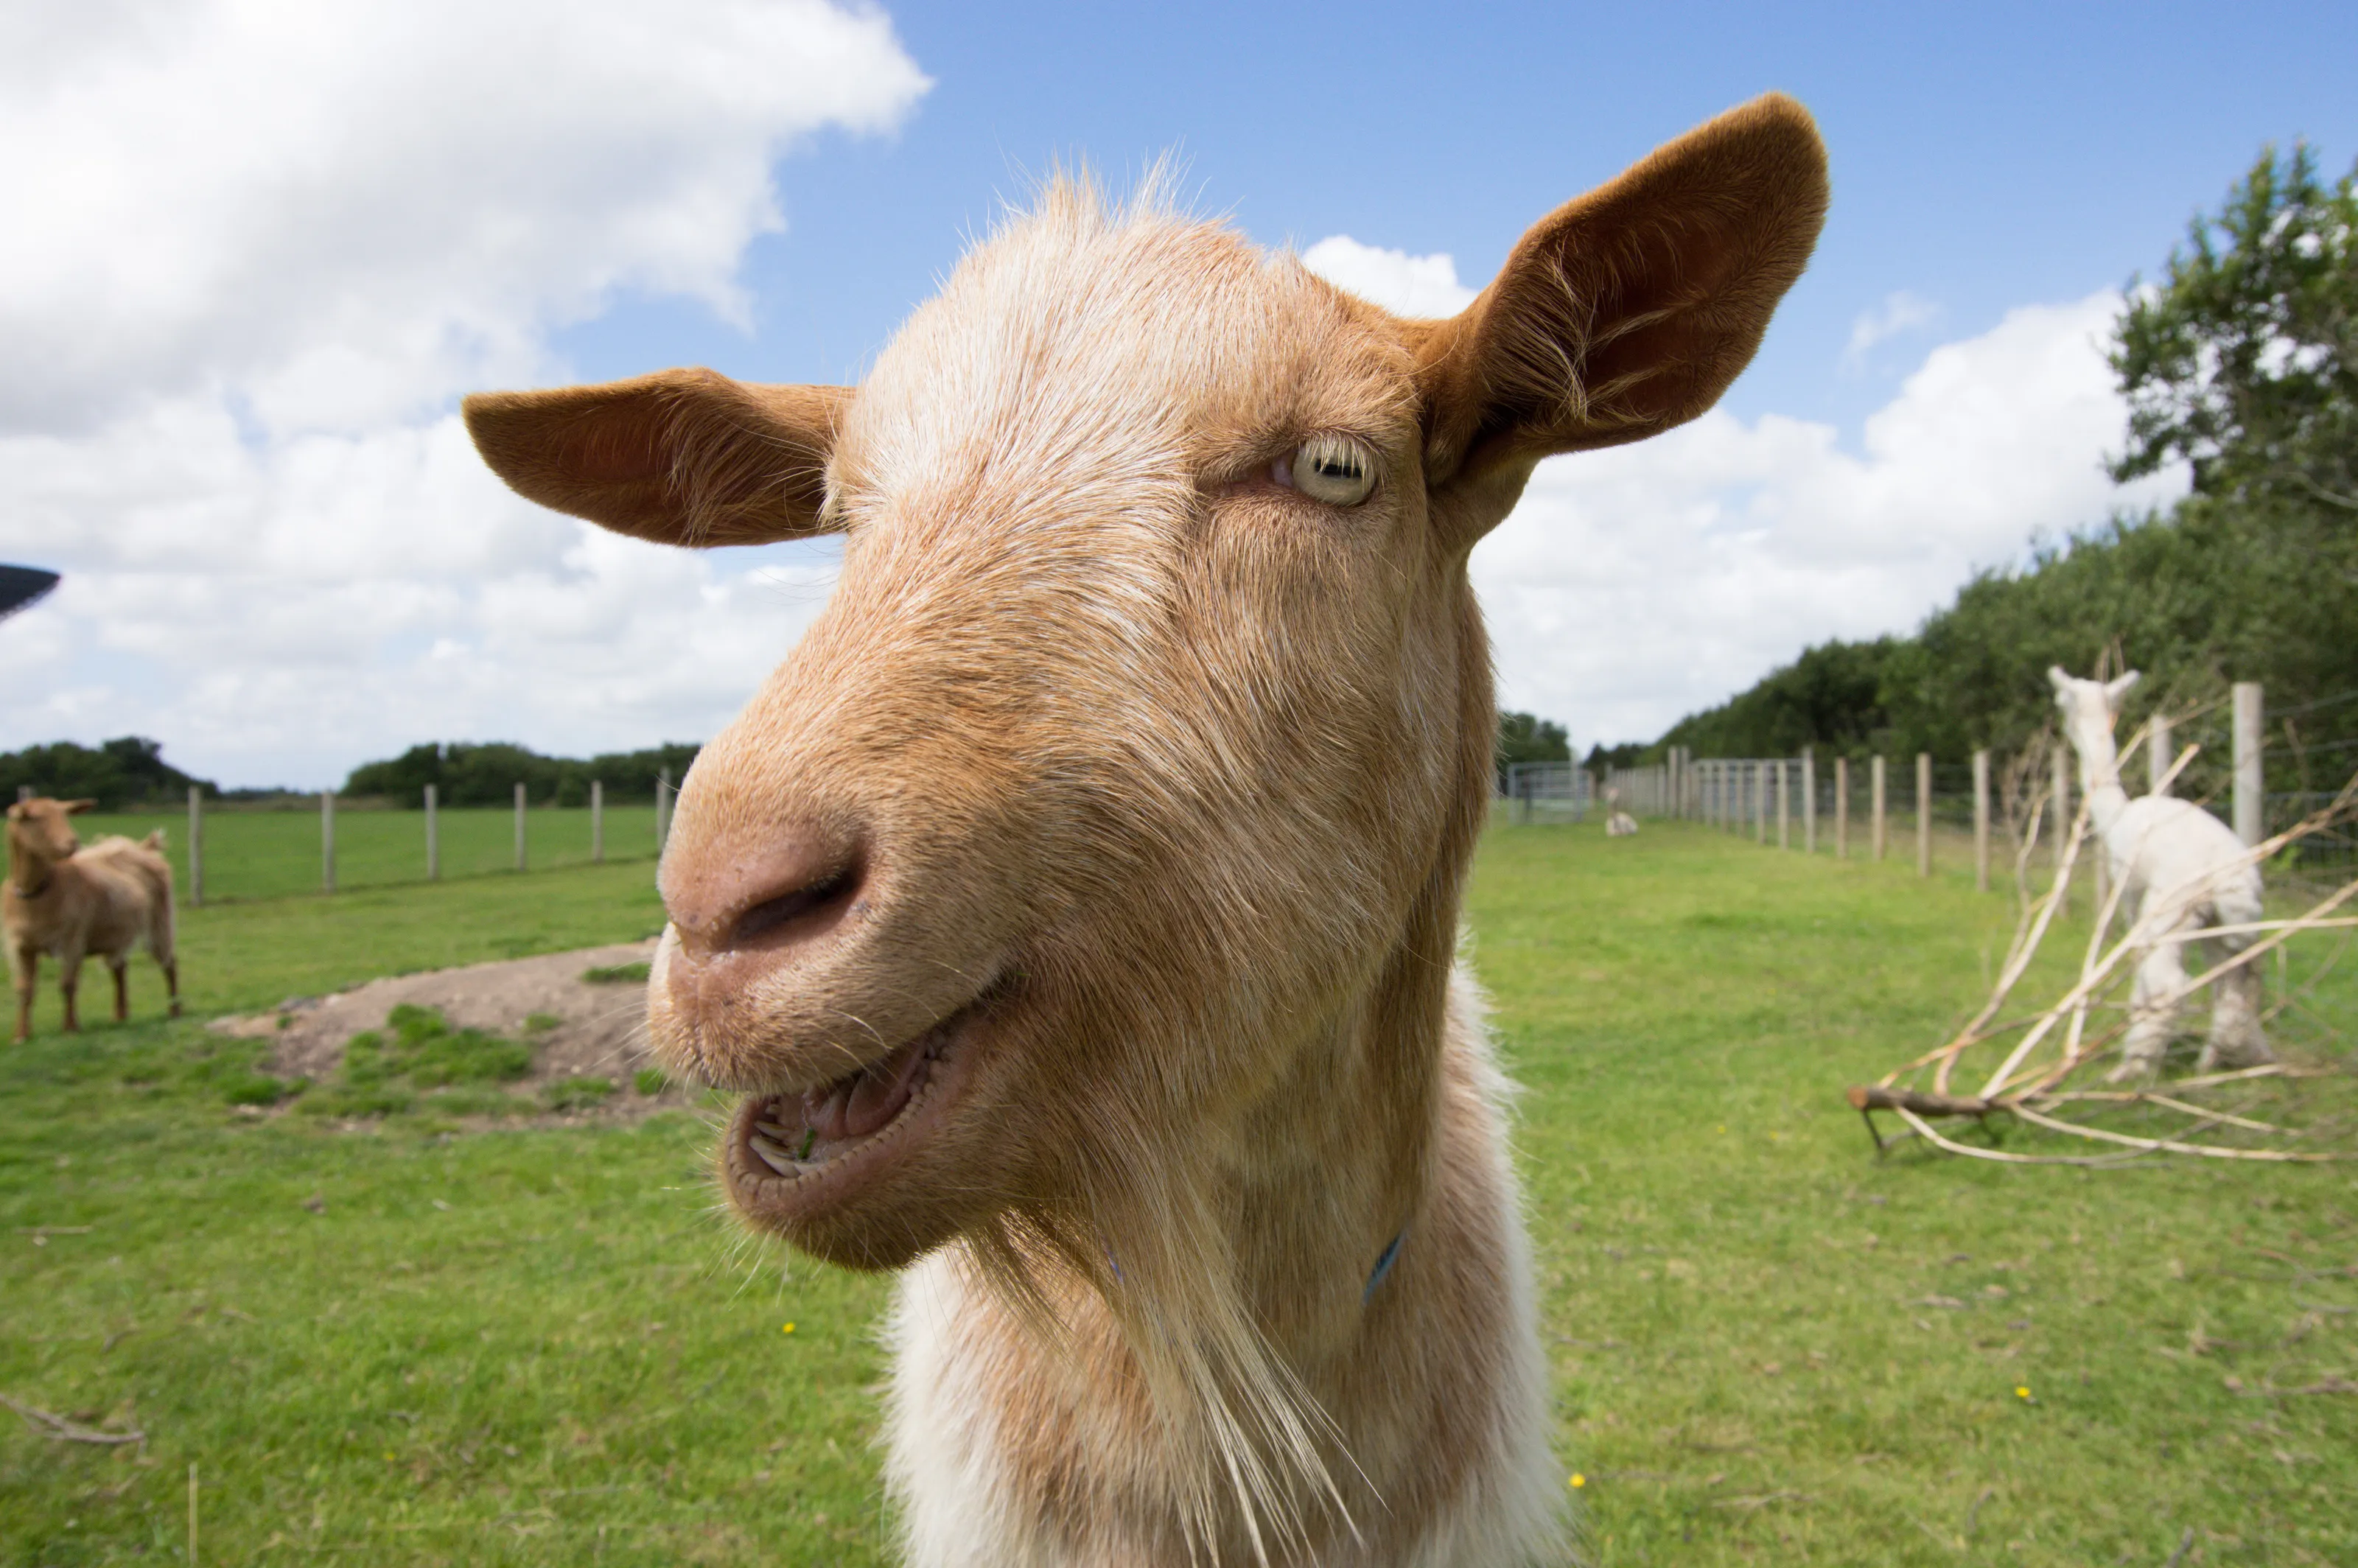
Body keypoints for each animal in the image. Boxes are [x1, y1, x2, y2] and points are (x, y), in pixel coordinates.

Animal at [6, 797, 181, 1044]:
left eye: (65, 814)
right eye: (34, 817)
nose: (72, 842)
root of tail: (139, 848)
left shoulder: (72, 940)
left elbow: (68, 984)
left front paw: (70, 1029)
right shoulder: (20, 946)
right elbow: (24, 989)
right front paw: (21, 1035)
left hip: (160, 922)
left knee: (169, 963)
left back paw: (175, 1010)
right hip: (116, 932)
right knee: (120, 967)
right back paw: (120, 1017)